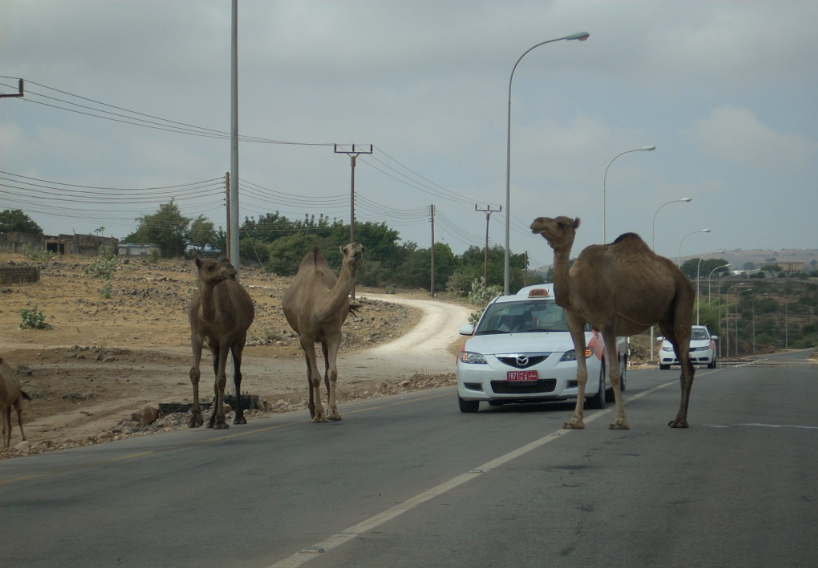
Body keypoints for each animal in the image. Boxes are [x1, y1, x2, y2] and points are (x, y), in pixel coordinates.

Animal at [189, 255, 255, 428]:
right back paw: (210, 421)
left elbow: (221, 379)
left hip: (239, 339)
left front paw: (221, 420)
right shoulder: (197, 335)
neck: (210, 316)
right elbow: (195, 374)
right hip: (213, 346)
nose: (231, 269)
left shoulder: (225, 337)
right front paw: (195, 419)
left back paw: (239, 417)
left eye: (223, 263)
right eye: (210, 266)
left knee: (236, 376)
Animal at [280, 243, 364, 422]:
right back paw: (312, 410)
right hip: (302, 337)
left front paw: (333, 412)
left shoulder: (334, 335)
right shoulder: (306, 337)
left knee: (324, 370)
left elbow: (332, 373)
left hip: (323, 340)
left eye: (363, 248)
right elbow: (314, 377)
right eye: (345, 250)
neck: (318, 305)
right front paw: (319, 414)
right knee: (308, 371)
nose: (356, 254)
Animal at [528, 215, 696, 428]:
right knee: (687, 362)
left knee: (684, 352)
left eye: (561, 224)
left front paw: (620, 421)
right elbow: (581, 373)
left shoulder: (607, 322)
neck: (576, 291)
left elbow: (614, 373)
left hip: (683, 296)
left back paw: (680, 420)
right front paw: (575, 421)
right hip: (665, 320)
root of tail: (683, 277)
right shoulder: (574, 322)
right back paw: (680, 418)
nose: (537, 221)